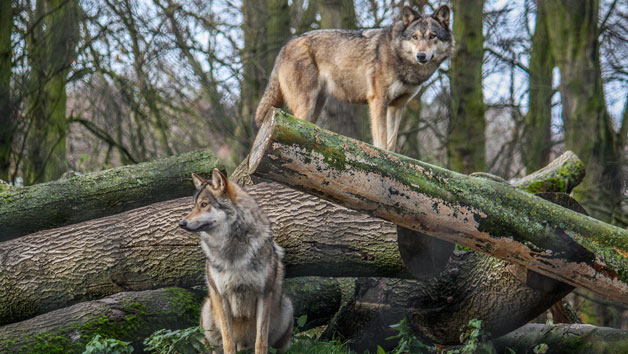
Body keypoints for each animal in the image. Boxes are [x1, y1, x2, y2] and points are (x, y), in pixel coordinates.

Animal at [178, 170, 294, 352]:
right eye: (194, 205)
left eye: (204, 204)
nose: (181, 223)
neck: (232, 249)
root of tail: (243, 345)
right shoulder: (222, 296)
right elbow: (228, 342)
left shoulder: (263, 294)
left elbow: (261, 342)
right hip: (207, 312)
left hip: (287, 308)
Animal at [255, 4, 456, 151]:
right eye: (415, 37)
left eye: (432, 36)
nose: (421, 56)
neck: (399, 56)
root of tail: (286, 45)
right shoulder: (378, 100)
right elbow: (381, 139)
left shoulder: (397, 106)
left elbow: (391, 142)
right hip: (305, 105)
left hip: (315, 108)